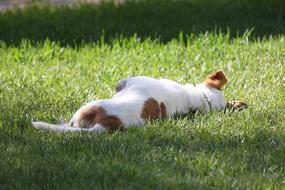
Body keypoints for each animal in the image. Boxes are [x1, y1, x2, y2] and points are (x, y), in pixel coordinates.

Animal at [31, 70, 246, 132]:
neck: (198, 99)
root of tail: (106, 124)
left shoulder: (128, 81)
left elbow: (119, 83)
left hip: (85, 108)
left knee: (69, 125)